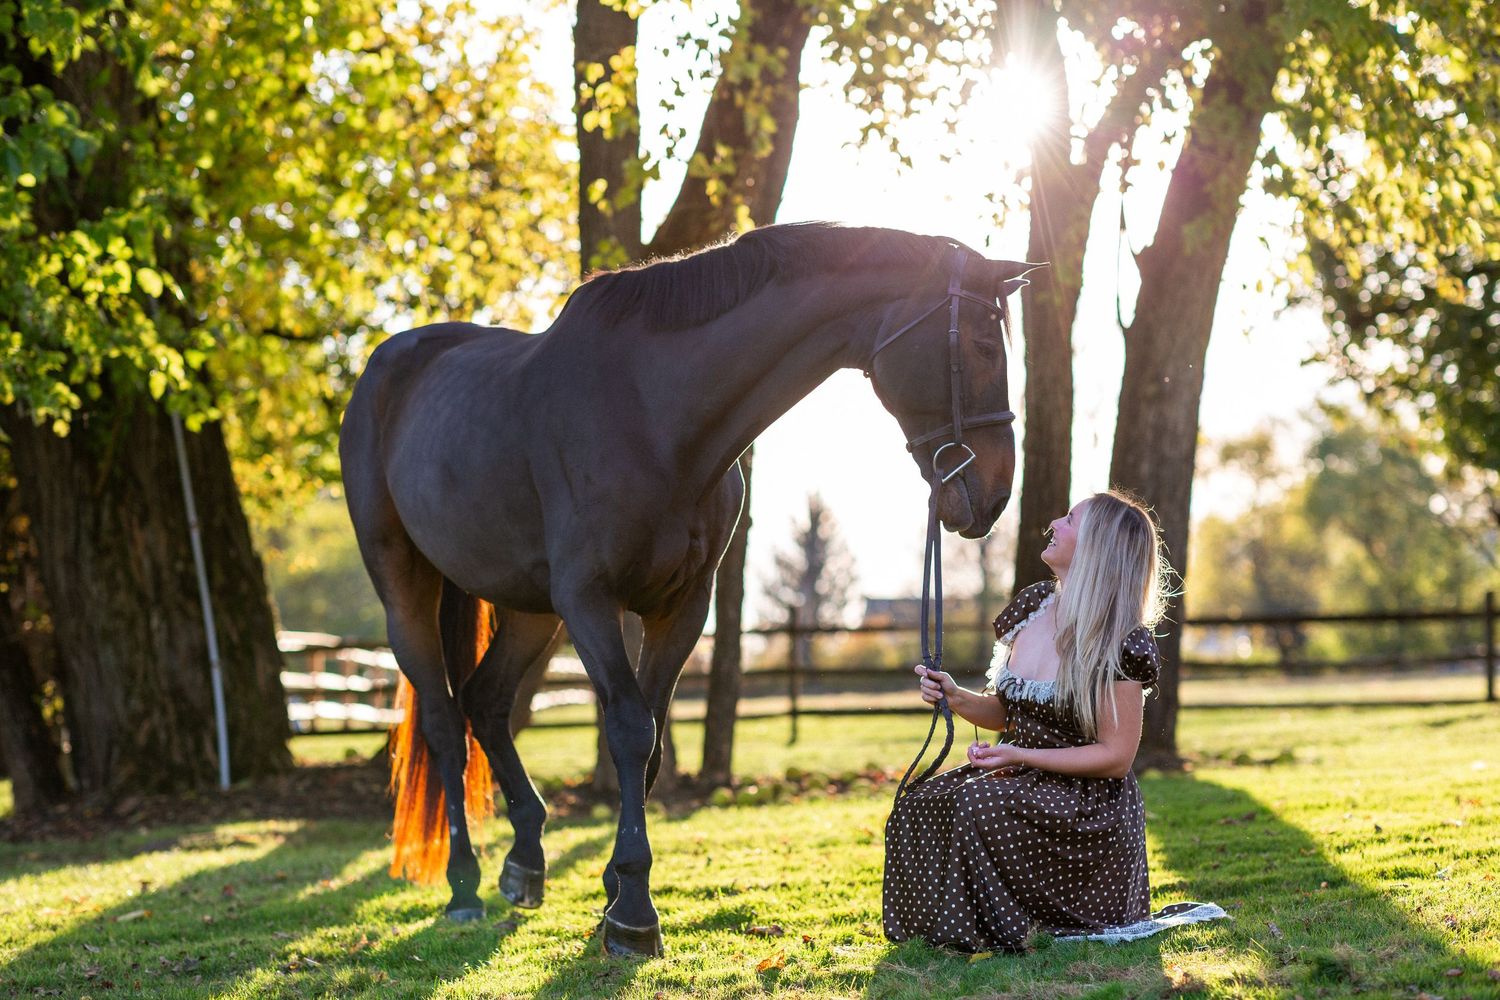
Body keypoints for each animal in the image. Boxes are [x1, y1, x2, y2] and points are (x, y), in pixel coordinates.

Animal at [339, 222, 1039, 956]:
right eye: (981, 344)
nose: (993, 496)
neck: (653, 414)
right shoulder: (589, 601)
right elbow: (628, 729)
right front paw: (633, 915)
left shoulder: (681, 608)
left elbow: (651, 746)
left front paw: (616, 893)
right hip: (408, 591)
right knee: (446, 722)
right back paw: (465, 885)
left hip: (529, 609)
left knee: (487, 702)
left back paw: (524, 864)